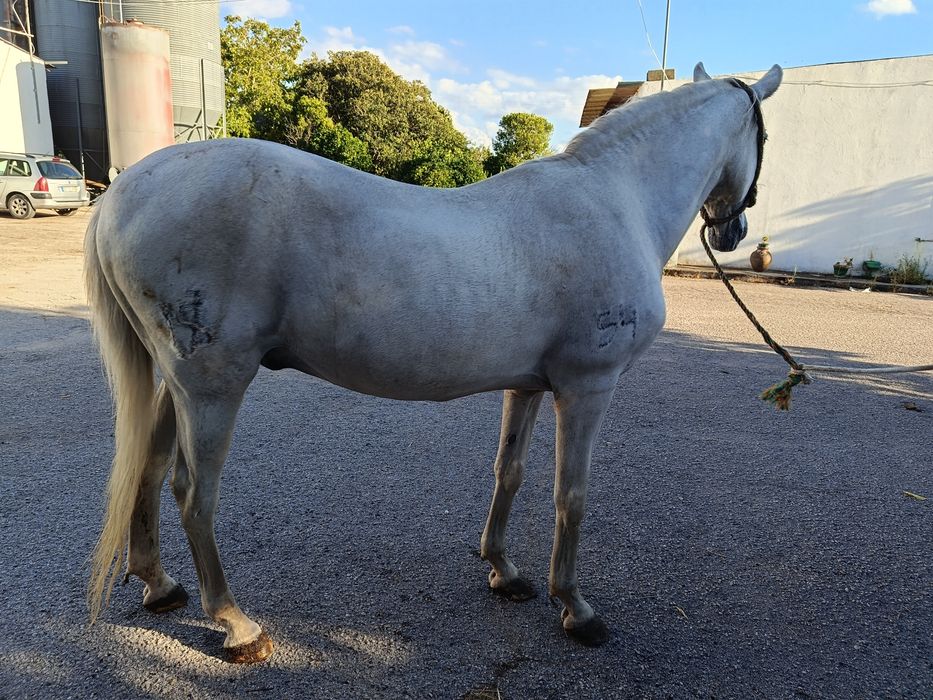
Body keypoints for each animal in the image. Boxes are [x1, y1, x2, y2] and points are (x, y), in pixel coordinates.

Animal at [85, 62, 782, 662]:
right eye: (764, 136)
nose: (732, 231)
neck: (617, 202)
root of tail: (123, 191)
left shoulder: (528, 387)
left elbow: (510, 472)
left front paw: (504, 572)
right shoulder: (587, 388)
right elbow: (572, 495)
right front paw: (576, 608)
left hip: (175, 384)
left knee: (149, 470)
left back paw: (160, 586)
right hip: (212, 386)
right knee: (193, 493)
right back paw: (236, 625)